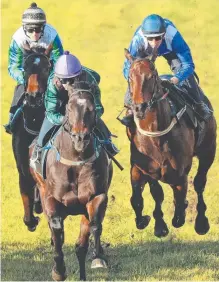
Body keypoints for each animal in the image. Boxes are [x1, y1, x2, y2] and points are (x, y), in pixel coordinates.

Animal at [30, 80, 113, 280]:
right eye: (69, 107)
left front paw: (98, 258)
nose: (81, 138)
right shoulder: (51, 198)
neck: (76, 160)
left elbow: (93, 228)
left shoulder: (96, 197)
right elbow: (57, 229)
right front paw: (58, 271)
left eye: (92, 108)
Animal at [124, 49, 216, 238]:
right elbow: (154, 193)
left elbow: (179, 203)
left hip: (209, 150)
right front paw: (159, 225)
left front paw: (179, 214)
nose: (139, 108)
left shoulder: (180, 172)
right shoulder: (145, 168)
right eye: (130, 77)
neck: (156, 137)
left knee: (199, 182)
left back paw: (201, 223)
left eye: (152, 76)